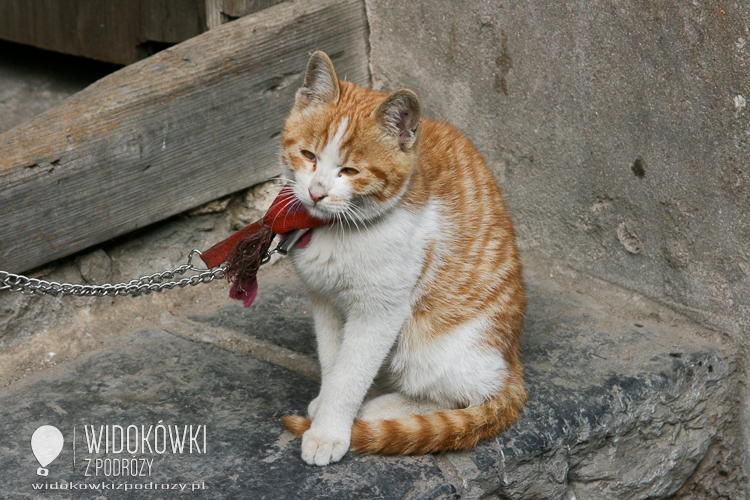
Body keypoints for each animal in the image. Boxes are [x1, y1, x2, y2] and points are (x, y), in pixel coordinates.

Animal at [278, 50, 528, 464]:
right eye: (308, 155)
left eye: (350, 170)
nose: (316, 192)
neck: (340, 229)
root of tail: (513, 363)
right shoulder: (324, 301)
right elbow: (334, 362)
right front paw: (326, 407)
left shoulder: (381, 311)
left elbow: (350, 373)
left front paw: (329, 431)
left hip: (431, 345)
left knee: (465, 396)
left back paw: (381, 409)